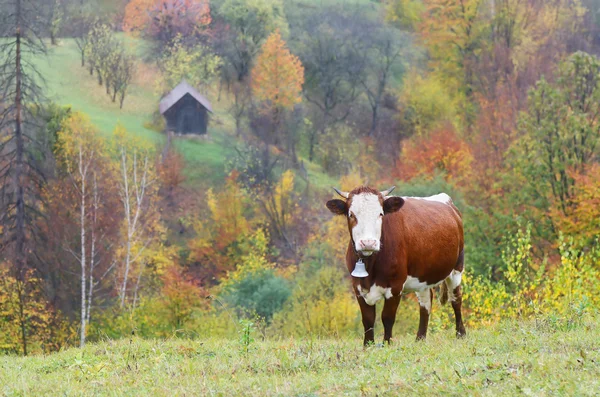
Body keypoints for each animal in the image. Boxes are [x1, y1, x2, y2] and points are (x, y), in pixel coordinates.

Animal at [326, 185, 466, 344]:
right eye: (351, 214)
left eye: (381, 214)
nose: (368, 243)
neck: (370, 265)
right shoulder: (358, 287)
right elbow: (368, 320)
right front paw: (367, 345)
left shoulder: (395, 286)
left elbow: (387, 318)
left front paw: (387, 343)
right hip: (423, 274)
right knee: (425, 302)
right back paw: (420, 338)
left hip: (457, 267)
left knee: (456, 299)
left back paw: (460, 333)